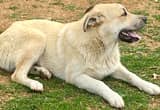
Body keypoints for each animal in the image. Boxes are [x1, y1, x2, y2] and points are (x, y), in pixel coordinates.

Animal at [0, 3, 160, 108]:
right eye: (123, 13)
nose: (146, 18)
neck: (101, 46)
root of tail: (4, 33)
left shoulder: (114, 67)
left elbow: (133, 76)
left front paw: (150, 86)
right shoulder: (76, 77)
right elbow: (100, 83)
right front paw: (114, 96)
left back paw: (42, 71)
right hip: (38, 39)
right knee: (17, 74)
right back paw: (34, 83)